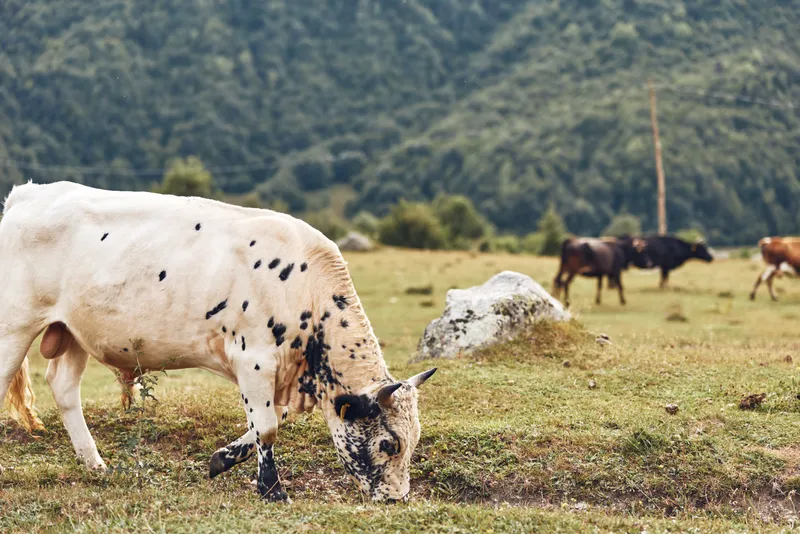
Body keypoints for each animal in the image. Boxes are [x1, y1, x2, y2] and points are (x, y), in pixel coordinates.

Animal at [0, 181, 436, 503]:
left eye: (413, 441)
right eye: (388, 444)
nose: (397, 499)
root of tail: (28, 194)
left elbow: (270, 422)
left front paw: (221, 460)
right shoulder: (254, 359)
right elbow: (267, 427)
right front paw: (272, 490)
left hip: (72, 330)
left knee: (63, 386)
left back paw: (94, 463)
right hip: (14, 323)